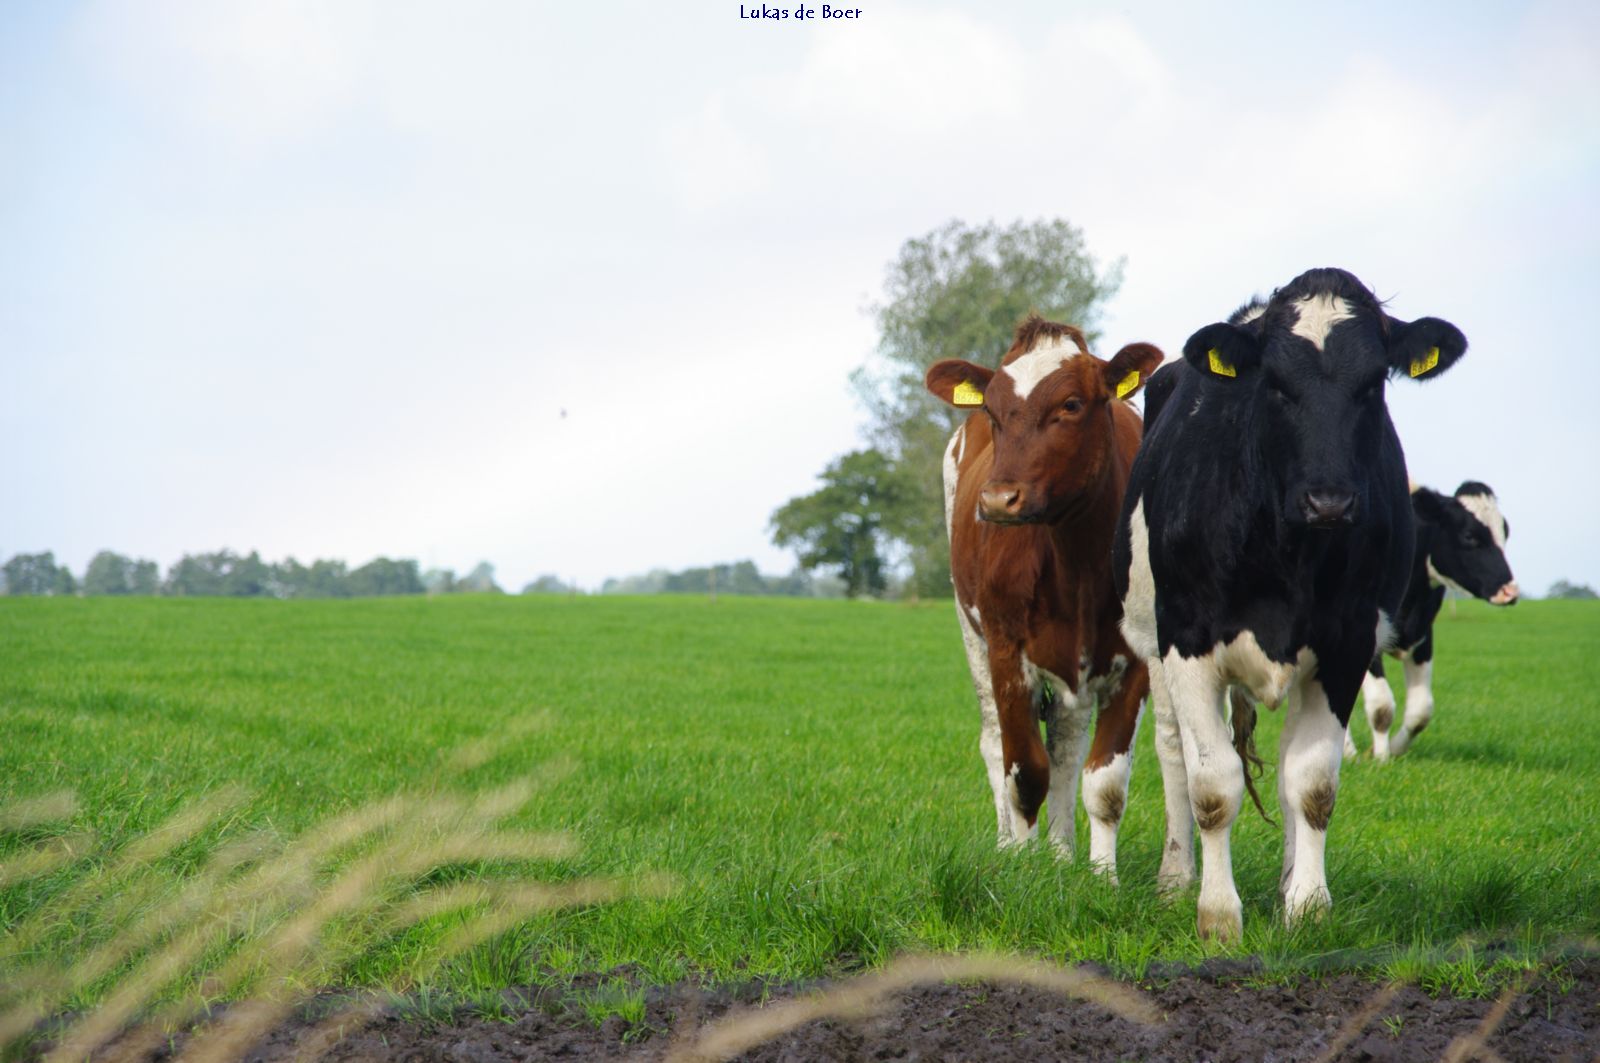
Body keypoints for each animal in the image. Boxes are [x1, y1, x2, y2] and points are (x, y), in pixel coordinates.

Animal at [925, 315, 1165, 880]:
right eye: (992, 410)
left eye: (1072, 404)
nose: (997, 500)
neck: (1077, 560)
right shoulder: (1007, 652)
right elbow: (1024, 771)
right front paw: (1022, 868)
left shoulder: (1135, 660)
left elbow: (1104, 781)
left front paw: (1101, 878)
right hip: (973, 635)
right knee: (997, 746)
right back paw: (1012, 844)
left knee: (1067, 748)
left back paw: (1061, 852)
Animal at [1113, 267, 1467, 940]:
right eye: (1274, 384)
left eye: (1372, 383)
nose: (1328, 500)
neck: (1287, 549)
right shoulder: (1187, 640)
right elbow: (1211, 786)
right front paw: (1217, 915)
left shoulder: (1346, 645)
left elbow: (1311, 786)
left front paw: (1305, 906)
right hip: (1152, 644)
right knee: (1174, 754)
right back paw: (1175, 880)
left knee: (1282, 772)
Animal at [1346, 481, 1517, 760]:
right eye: (1469, 536)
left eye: (1505, 533)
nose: (1510, 591)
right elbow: (1382, 706)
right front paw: (1380, 759)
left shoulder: (1423, 637)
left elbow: (1421, 711)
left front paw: (1395, 751)